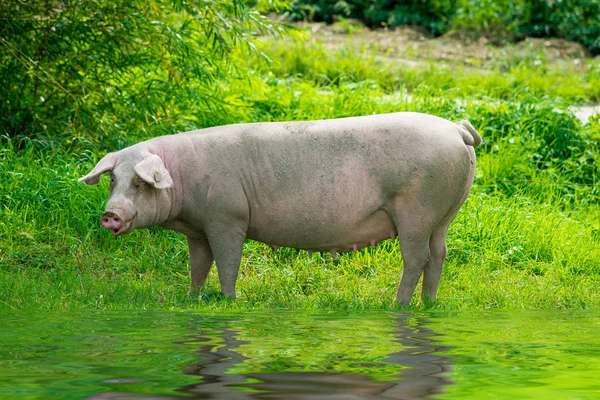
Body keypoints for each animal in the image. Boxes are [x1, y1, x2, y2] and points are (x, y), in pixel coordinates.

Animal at [81, 112, 482, 306]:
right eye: (113, 180)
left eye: (139, 184)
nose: (110, 214)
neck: (184, 180)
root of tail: (456, 131)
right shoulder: (199, 230)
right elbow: (199, 264)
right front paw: (192, 299)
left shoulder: (227, 218)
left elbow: (227, 262)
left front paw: (228, 301)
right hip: (445, 213)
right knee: (439, 254)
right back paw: (428, 304)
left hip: (418, 208)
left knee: (416, 258)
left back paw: (396, 305)